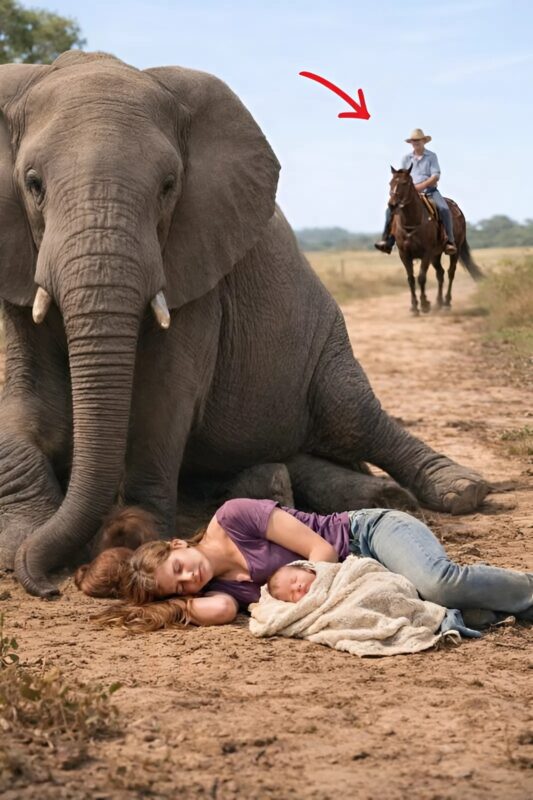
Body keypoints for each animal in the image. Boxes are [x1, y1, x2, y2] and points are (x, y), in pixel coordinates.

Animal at [0, 51, 489, 598]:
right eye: (33, 185)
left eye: (169, 187)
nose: (49, 584)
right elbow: (25, 404)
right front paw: (23, 537)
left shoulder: (200, 268)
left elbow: (163, 398)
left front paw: (135, 533)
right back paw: (305, 486)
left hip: (328, 347)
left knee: (354, 415)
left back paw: (455, 490)